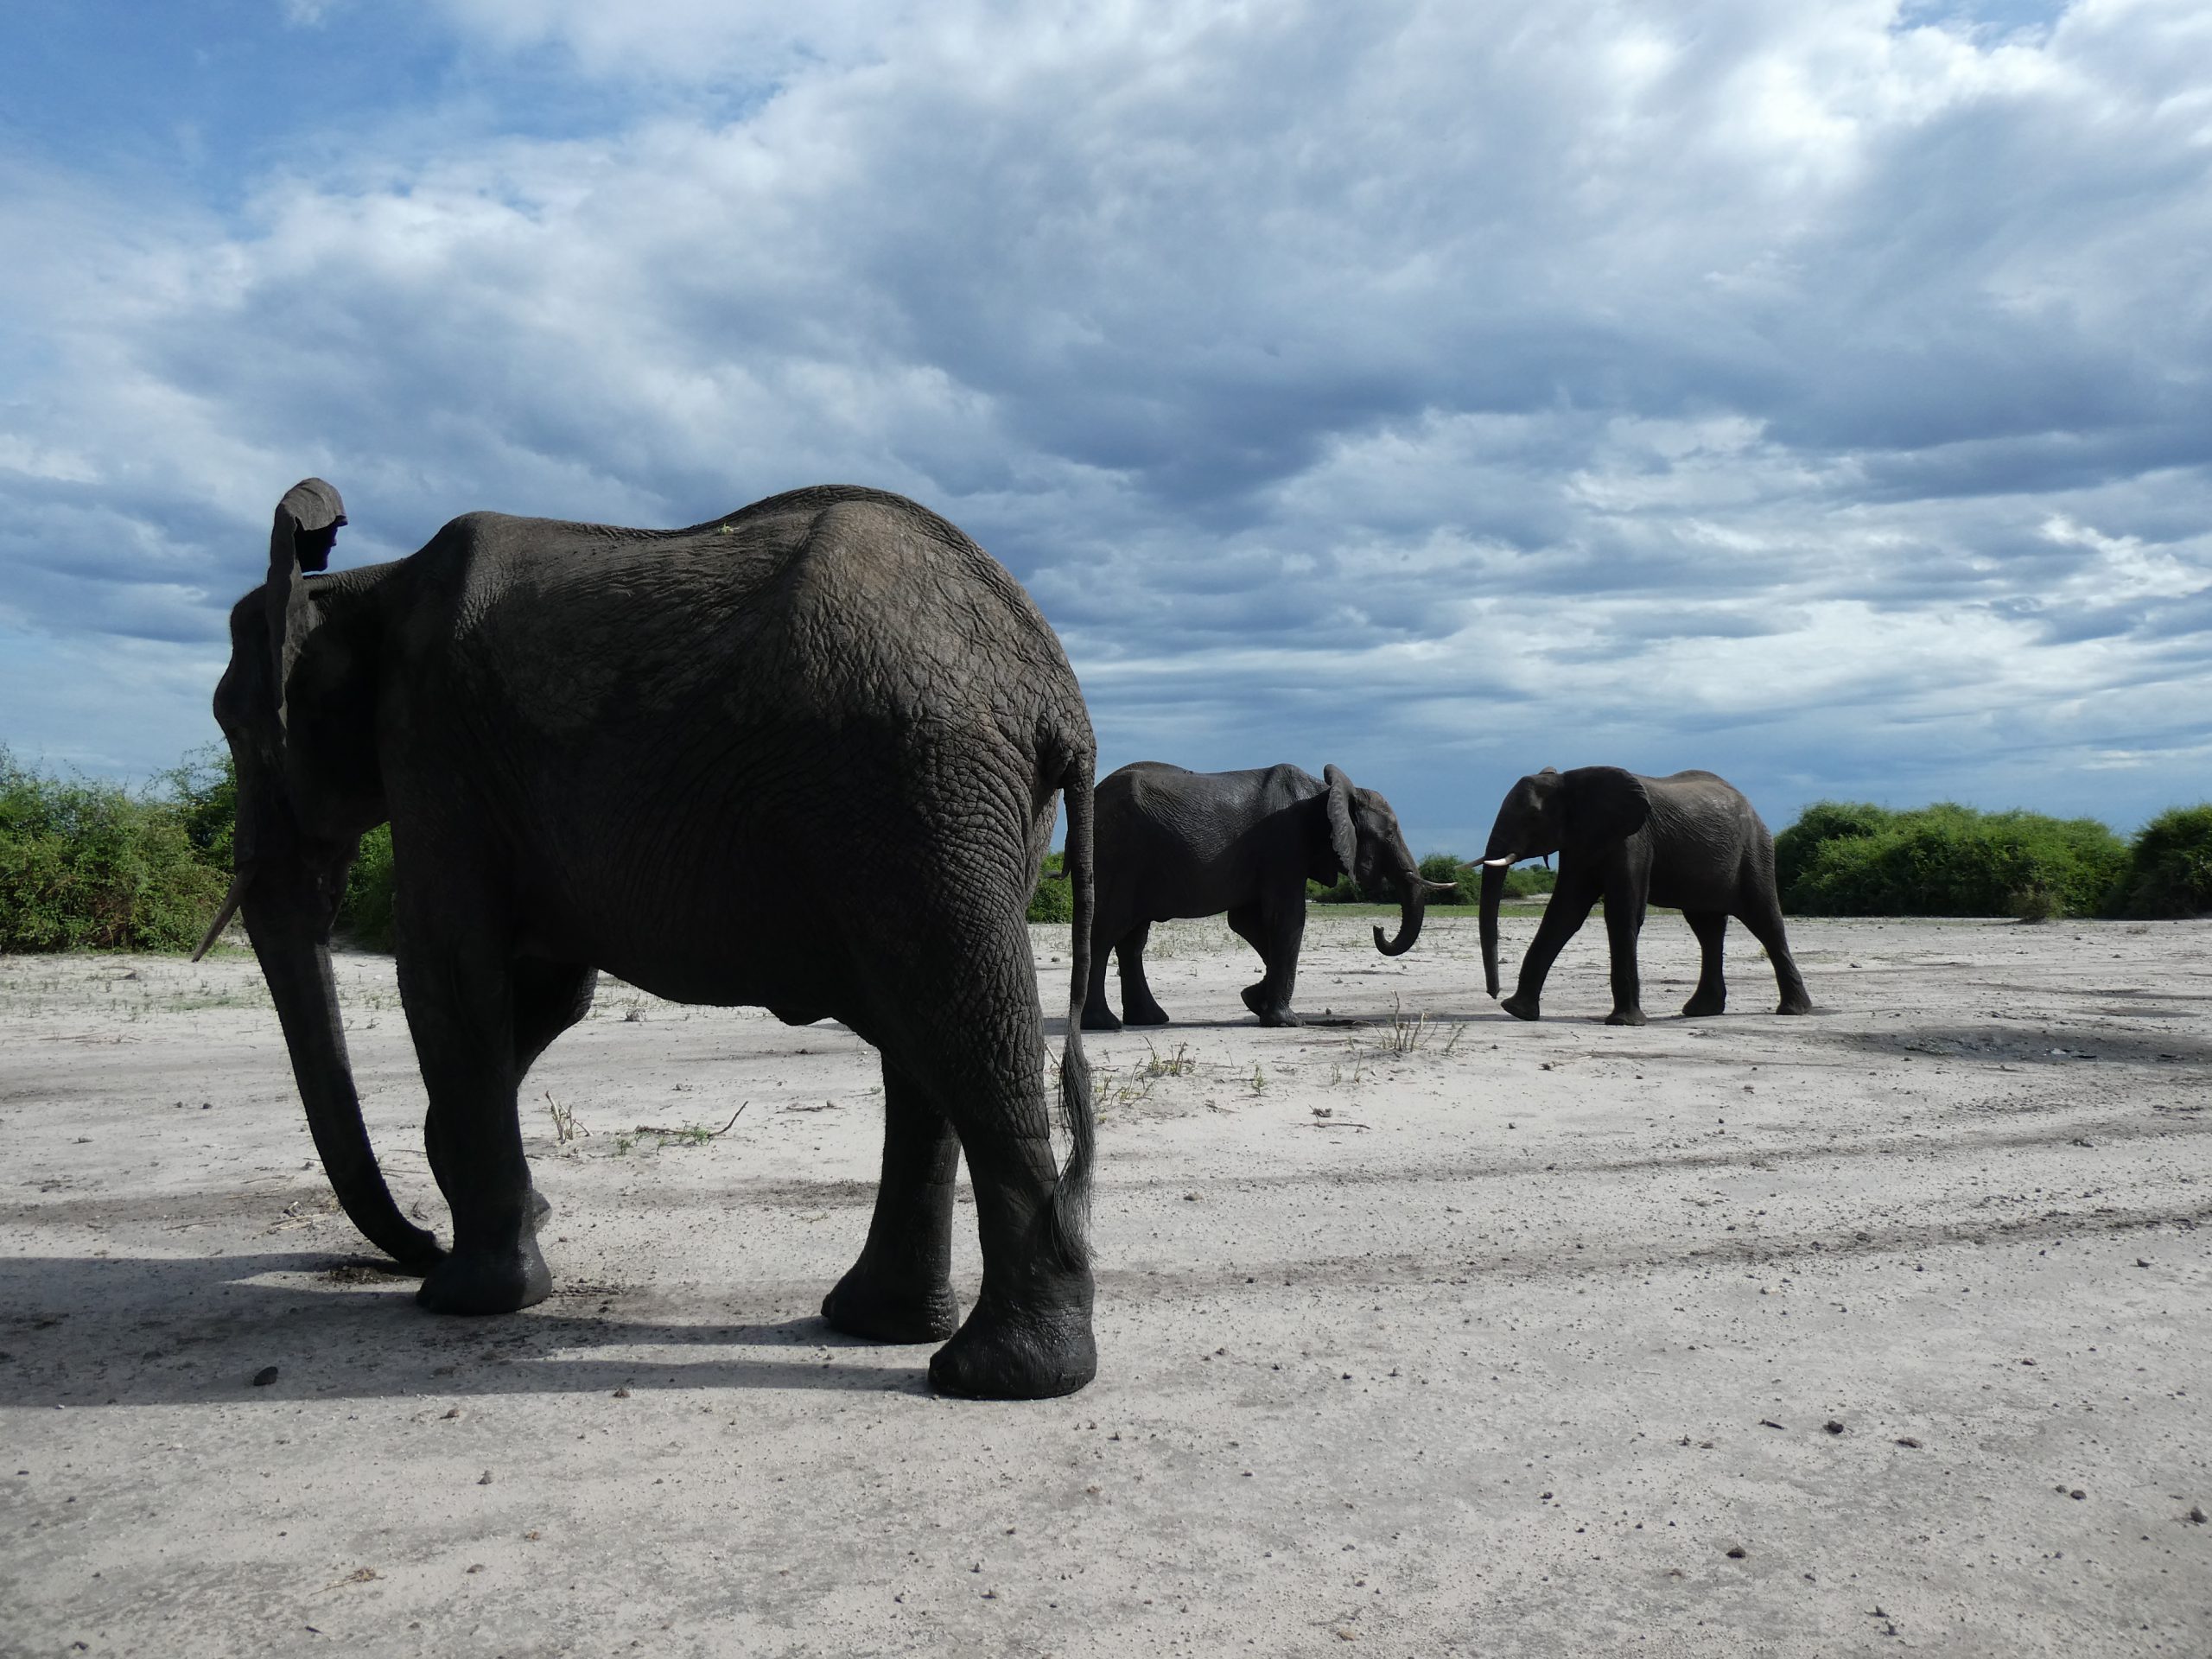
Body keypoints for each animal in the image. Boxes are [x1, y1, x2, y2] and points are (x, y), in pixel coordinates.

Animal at [203, 480, 1101, 1407]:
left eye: (233, 724)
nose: (415, 1244)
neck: (363, 587)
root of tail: (1057, 699)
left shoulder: (433, 742)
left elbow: (448, 971)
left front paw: (464, 1296)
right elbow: (551, 988)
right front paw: (501, 1210)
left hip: (914, 787)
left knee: (959, 1026)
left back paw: (997, 1377)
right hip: (953, 811)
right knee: (923, 1035)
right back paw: (882, 1327)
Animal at [1075, 765, 1451, 1026]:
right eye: (1388, 834)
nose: (1378, 929)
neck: (1325, 793)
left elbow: (1247, 922)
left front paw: (1253, 1000)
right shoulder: (1285, 844)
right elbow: (1287, 918)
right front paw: (1287, 1021)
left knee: (1132, 938)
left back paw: (1150, 1019)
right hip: (1117, 854)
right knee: (1107, 931)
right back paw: (1103, 1024)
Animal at [1478, 765, 1804, 1026]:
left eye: (1533, 817)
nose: (1493, 993)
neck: (1571, 780)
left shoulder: (1635, 839)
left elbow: (1623, 913)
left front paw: (1623, 1023)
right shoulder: (1580, 841)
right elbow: (1564, 913)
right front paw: (1517, 1011)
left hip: (1756, 851)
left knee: (1765, 921)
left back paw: (1792, 1010)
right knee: (1707, 929)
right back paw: (1701, 1011)